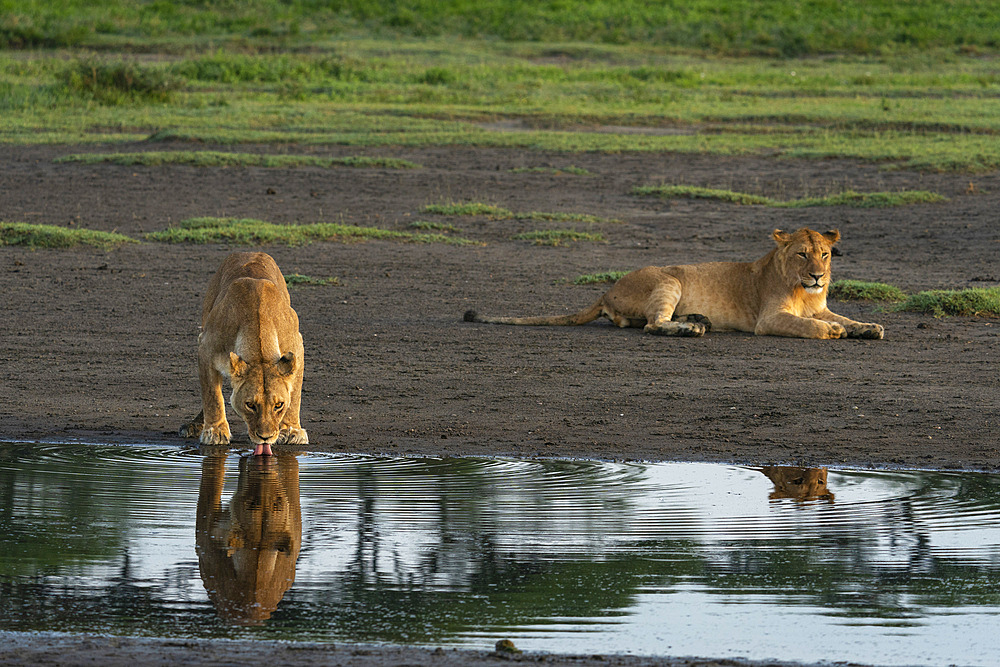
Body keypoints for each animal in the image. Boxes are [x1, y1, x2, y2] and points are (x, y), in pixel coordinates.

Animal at [179, 253, 304, 456]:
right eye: (250, 405)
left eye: (278, 405)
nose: (265, 438)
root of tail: (250, 253)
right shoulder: (205, 347)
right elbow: (212, 396)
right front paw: (215, 431)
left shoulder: (297, 347)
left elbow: (295, 396)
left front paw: (292, 431)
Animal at [466, 230, 884, 342]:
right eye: (801, 254)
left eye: (825, 254)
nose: (818, 276)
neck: (802, 289)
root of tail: (605, 291)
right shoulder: (768, 319)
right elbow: (806, 324)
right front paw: (830, 331)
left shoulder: (821, 304)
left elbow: (846, 317)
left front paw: (868, 328)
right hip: (668, 279)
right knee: (653, 325)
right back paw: (691, 328)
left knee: (643, 322)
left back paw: (698, 320)